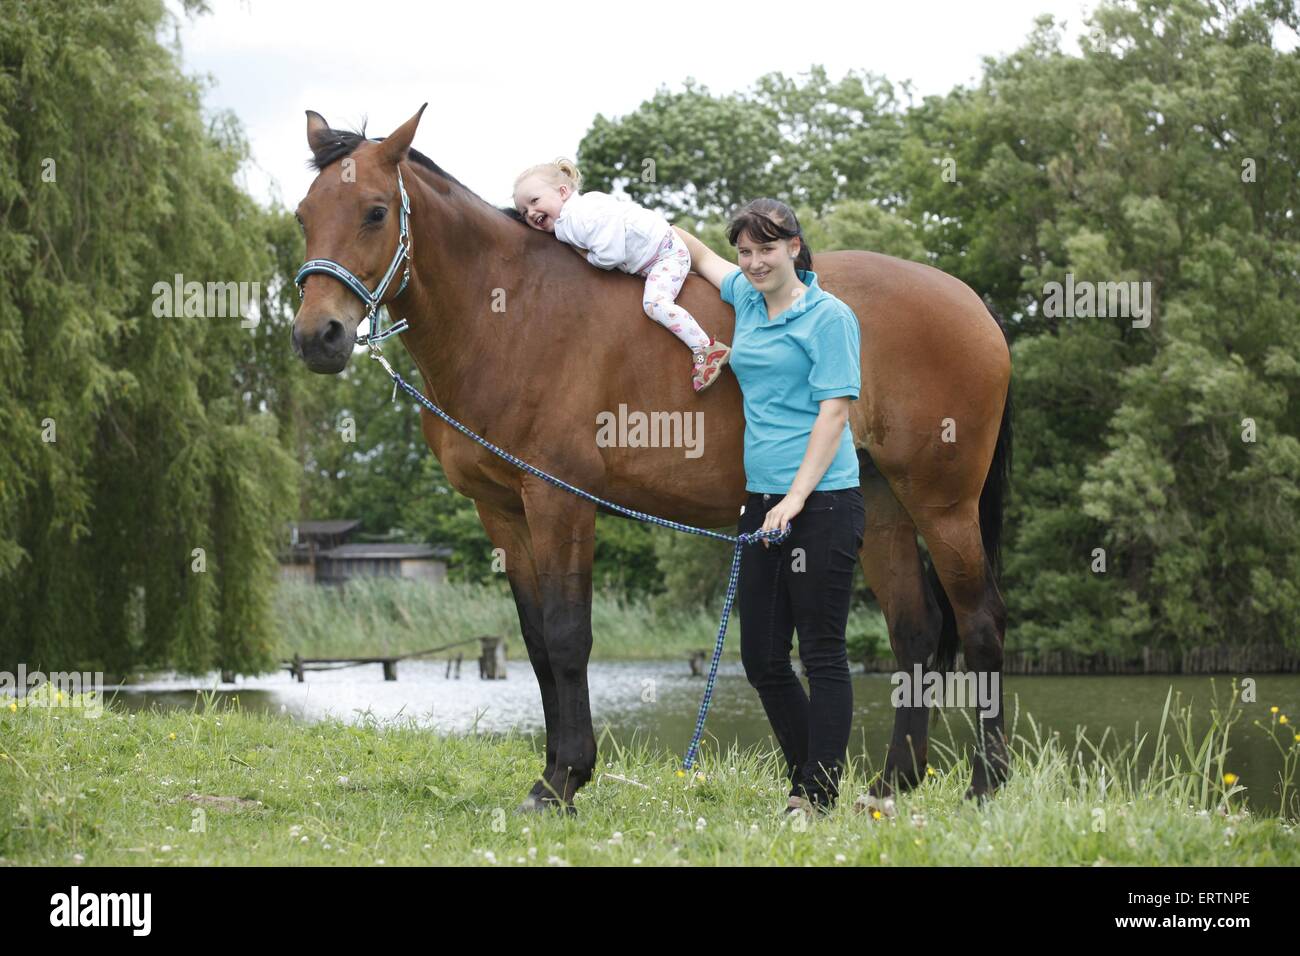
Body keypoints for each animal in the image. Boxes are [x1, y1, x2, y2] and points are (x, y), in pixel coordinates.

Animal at [292, 106, 1013, 816]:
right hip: (883, 501)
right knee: (915, 630)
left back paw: (985, 785)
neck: (511, 311)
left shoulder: (560, 500)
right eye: (303, 213)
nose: (317, 337)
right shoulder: (501, 511)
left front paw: (565, 779)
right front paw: (549, 776)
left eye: (376, 211)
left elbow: (568, 635)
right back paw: (891, 784)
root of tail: (974, 304)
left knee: (980, 621)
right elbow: (535, 643)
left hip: (943, 503)